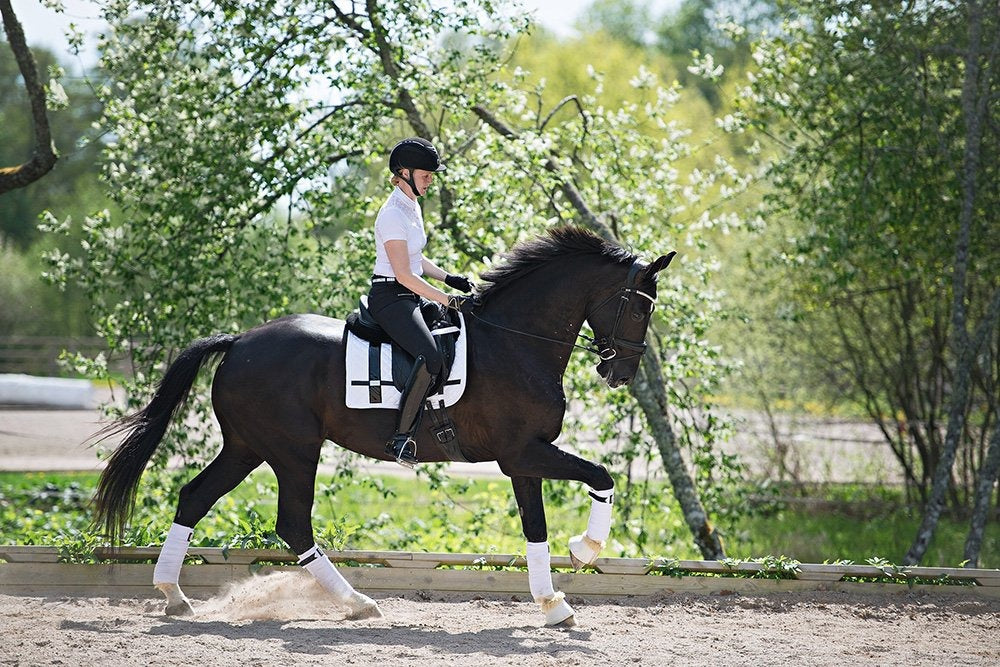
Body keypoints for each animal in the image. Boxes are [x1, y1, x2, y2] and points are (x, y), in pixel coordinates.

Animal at [94, 227, 676, 628]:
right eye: (638, 309)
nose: (621, 374)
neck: (516, 342)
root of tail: (238, 341)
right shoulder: (523, 452)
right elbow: (601, 476)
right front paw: (586, 550)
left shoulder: (524, 459)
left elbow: (536, 528)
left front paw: (553, 605)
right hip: (293, 451)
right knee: (292, 523)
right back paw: (358, 602)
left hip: (246, 447)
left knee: (194, 497)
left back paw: (174, 597)